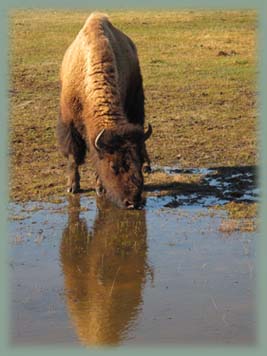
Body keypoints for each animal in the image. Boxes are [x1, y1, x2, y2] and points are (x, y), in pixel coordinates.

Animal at [57, 12, 152, 209]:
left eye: (137, 162)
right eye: (113, 166)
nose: (133, 202)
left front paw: (100, 188)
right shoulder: (69, 123)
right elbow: (73, 156)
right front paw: (72, 187)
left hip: (136, 102)